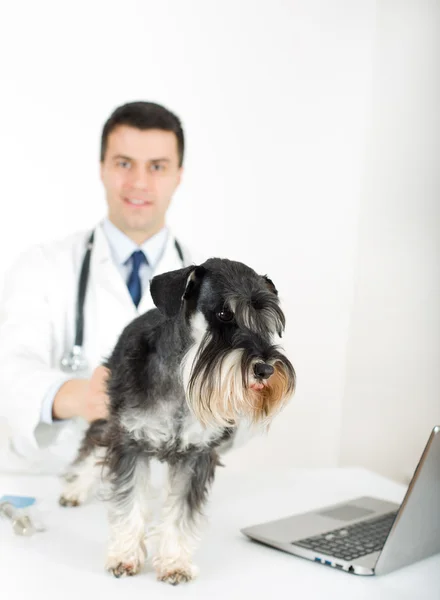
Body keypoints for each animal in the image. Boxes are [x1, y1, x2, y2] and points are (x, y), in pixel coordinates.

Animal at [58, 255, 296, 584]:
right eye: (224, 313)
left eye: (267, 322)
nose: (265, 369)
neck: (181, 378)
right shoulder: (130, 441)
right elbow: (130, 501)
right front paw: (124, 557)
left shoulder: (196, 455)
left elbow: (181, 512)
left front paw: (174, 563)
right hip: (108, 415)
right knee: (93, 445)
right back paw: (74, 489)